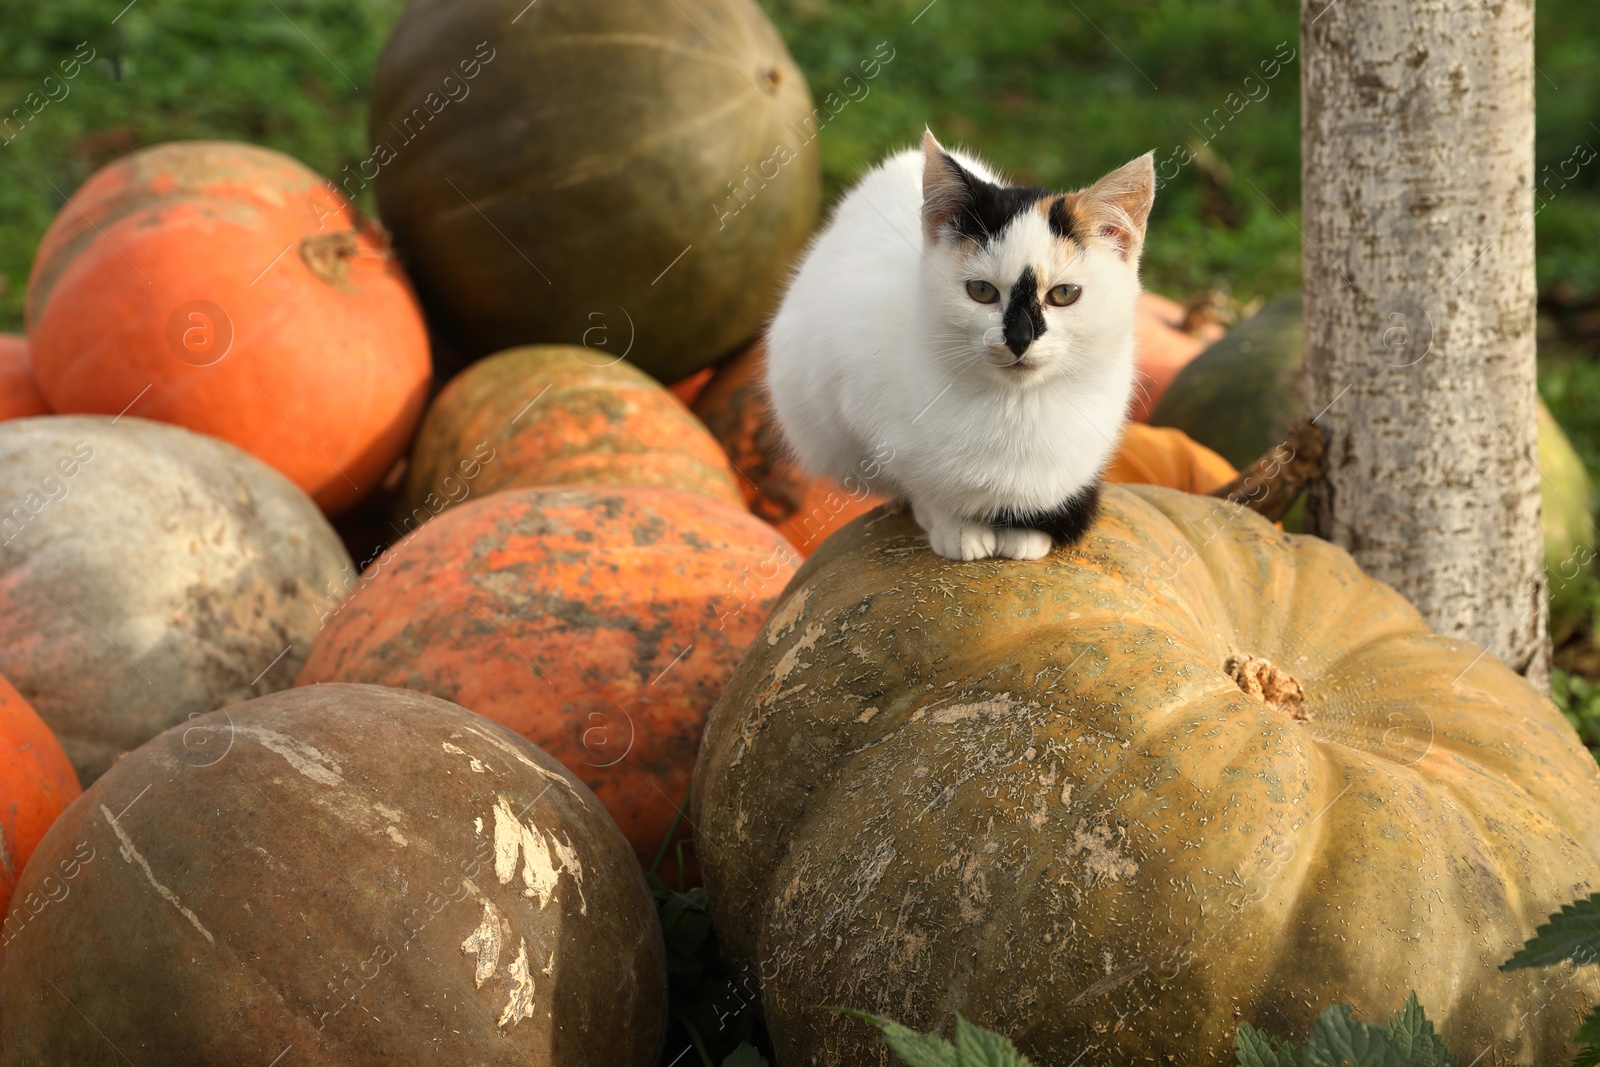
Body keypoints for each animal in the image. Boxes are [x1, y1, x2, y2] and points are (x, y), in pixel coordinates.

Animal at [761, 130, 1152, 563]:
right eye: (981, 291)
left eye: (1064, 294)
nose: (1019, 338)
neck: (1015, 408)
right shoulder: (847, 389)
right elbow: (916, 481)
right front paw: (954, 524)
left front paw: (1026, 532)